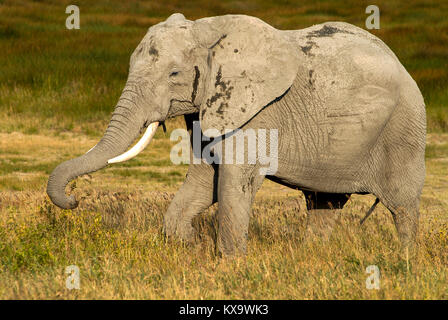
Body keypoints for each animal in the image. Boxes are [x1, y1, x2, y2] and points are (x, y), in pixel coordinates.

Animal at [47, 13, 426, 256]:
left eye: (174, 74)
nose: (76, 199)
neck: (207, 30)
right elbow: (205, 181)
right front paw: (188, 247)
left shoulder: (257, 110)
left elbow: (233, 181)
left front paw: (229, 264)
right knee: (324, 203)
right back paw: (311, 257)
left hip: (405, 129)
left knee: (402, 207)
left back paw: (405, 263)